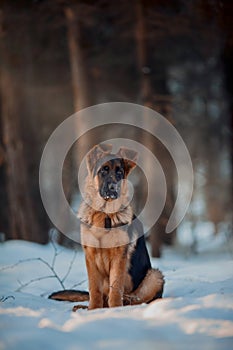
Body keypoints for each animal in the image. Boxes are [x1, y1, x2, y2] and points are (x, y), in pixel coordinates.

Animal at [49, 144, 164, 310]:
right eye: (103, 170)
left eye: (119, 173)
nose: (112, 188)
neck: (104, 214)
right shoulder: (90, 256)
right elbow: (94, 288)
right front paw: (93, 310)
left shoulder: (118, 256)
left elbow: (115, 287)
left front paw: (115, 309)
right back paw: (84, 307)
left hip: (154, 276)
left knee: (136, 298)